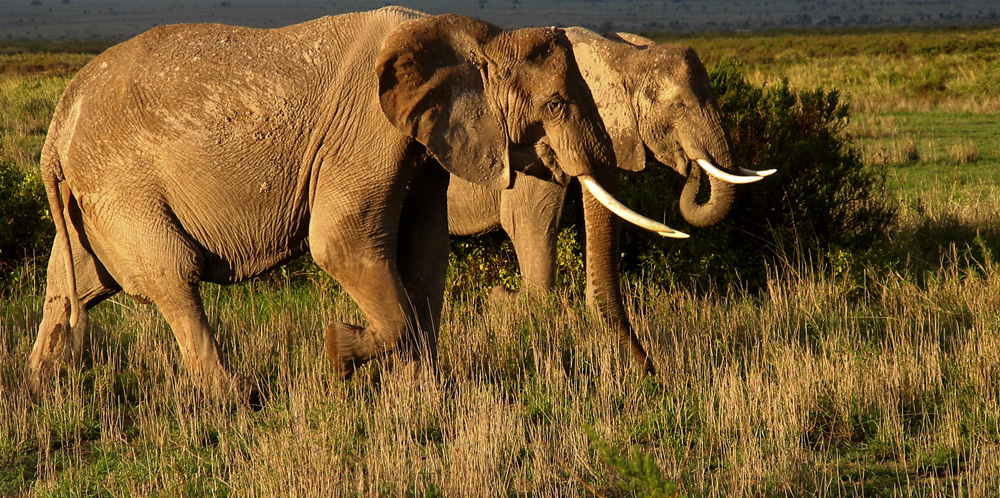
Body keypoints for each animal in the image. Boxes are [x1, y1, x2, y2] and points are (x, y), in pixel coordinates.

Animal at [25, 5, 680, 394]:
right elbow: (341, 245)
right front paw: (341, 353)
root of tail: (57, 127)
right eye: (557, 106)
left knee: (75, 280)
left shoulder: (423, 140)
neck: (466, 31)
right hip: (122, 186)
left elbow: (425, 250)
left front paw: (426, 394)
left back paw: (42, 391)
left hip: (93, 198)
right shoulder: (368, 130)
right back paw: (240, 401)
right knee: (172, 276)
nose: (652, 376)